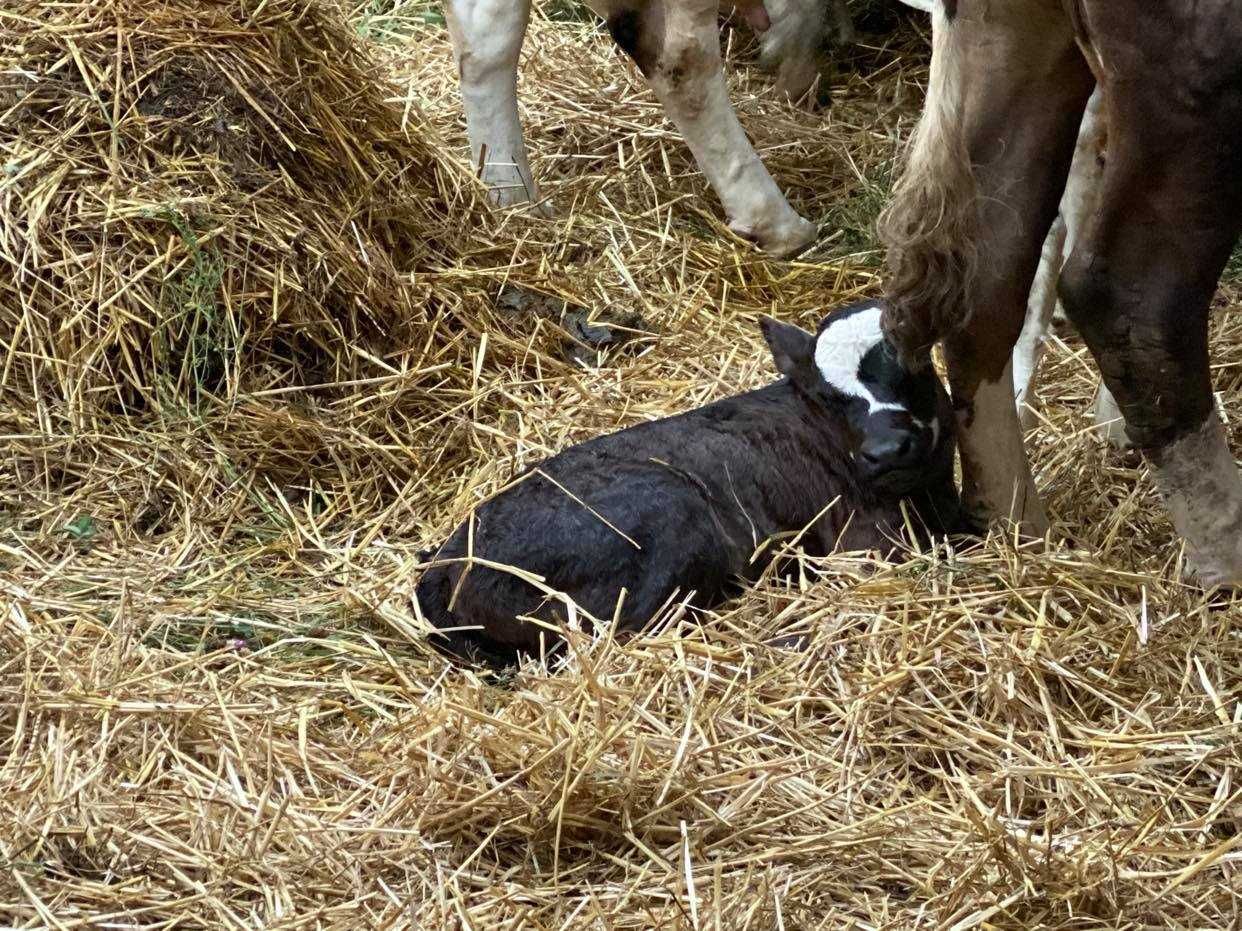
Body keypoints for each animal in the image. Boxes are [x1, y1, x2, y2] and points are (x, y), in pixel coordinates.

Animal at [417, 302, 958, 665]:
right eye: (826, 396)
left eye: (913, 369)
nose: (888, 450)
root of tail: (444, 564)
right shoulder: (863, 541)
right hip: (673, 513)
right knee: (626, 633)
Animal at [884, 0, 1242, 585]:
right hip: (1194, 73)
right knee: (1132, 299)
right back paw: (1225, 558)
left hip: (1017, 41)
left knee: (985, 279)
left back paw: (1012, 527)